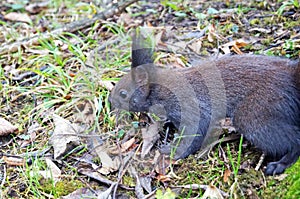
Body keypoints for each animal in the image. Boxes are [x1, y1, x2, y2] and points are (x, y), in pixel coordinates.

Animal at [109, 32, 300, 174]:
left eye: (123, 93)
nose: (110, 101)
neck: (159, 90)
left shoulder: (187, 105)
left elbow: (195, 131)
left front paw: (173, 150)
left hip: (256, 112)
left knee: (295, 139)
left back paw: (281, 164)